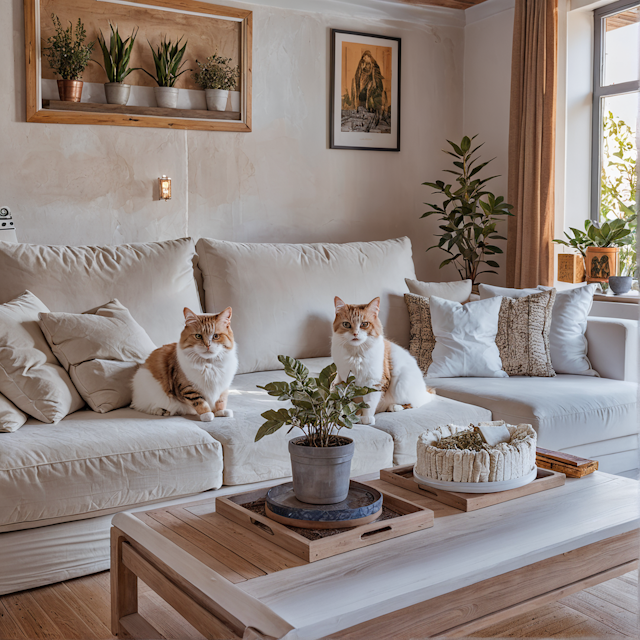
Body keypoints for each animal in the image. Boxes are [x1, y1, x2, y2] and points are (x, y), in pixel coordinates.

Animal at [330, 296, 436, 424]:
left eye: (364, 324)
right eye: (346, 324)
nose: (355, 333)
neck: (356, 355)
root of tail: (424, 389)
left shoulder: (375, 382)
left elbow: (369, 404)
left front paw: (366, 419)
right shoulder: (342, 380)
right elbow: (348, 403)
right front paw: (350, 416)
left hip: (401, 385)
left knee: (413, 404)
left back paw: (394, 407)